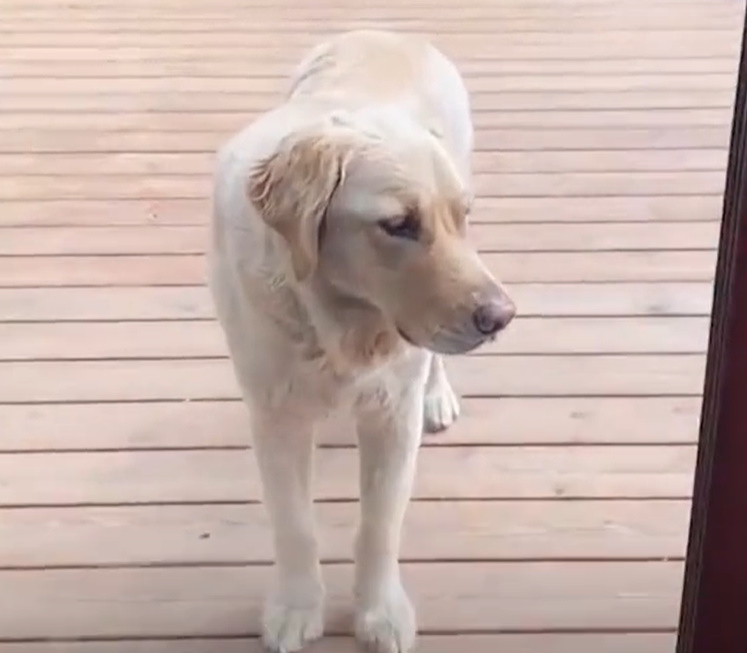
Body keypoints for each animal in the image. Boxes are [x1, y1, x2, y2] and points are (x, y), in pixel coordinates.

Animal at [207, 29, 516, 652]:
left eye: (461, 217)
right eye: (398, 225)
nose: (501, 317)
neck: (336, 321)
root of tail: (387, 30)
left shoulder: (391, 411)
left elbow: (379, 524)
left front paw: (380, 613)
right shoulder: (275, 413)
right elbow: (294, 524)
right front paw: (296, 609)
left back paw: (438, 395)